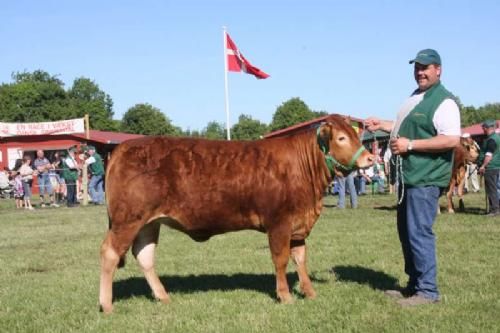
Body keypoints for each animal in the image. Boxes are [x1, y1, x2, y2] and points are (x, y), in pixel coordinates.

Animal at [97, 115, 374, 312]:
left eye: (356, 135)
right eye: (341, 138)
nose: (370, 158)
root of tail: (122, 148)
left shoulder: (298, 225)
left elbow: (300, 259)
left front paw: (309, 292)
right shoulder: (279, 223)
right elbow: (281, 259)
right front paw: (285, 296)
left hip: (148, 222)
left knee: (144, 255)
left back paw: (163, 296)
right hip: (127, 219)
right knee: (110, 253)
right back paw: (107, 305)